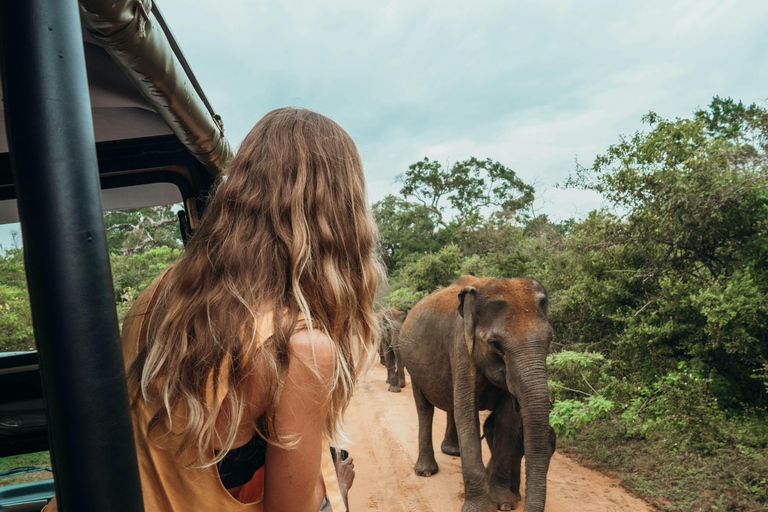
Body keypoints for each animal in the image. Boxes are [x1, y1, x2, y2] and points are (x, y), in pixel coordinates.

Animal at [400, 276, 556, 512]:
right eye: (496, 344)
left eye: (549, 340)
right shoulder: (461, 348)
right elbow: (467, 412)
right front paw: (481, 508)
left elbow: (507, 419)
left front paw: (504, 504)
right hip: (412, 366)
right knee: (424, 409)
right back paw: (426, 471)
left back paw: (453, 452)